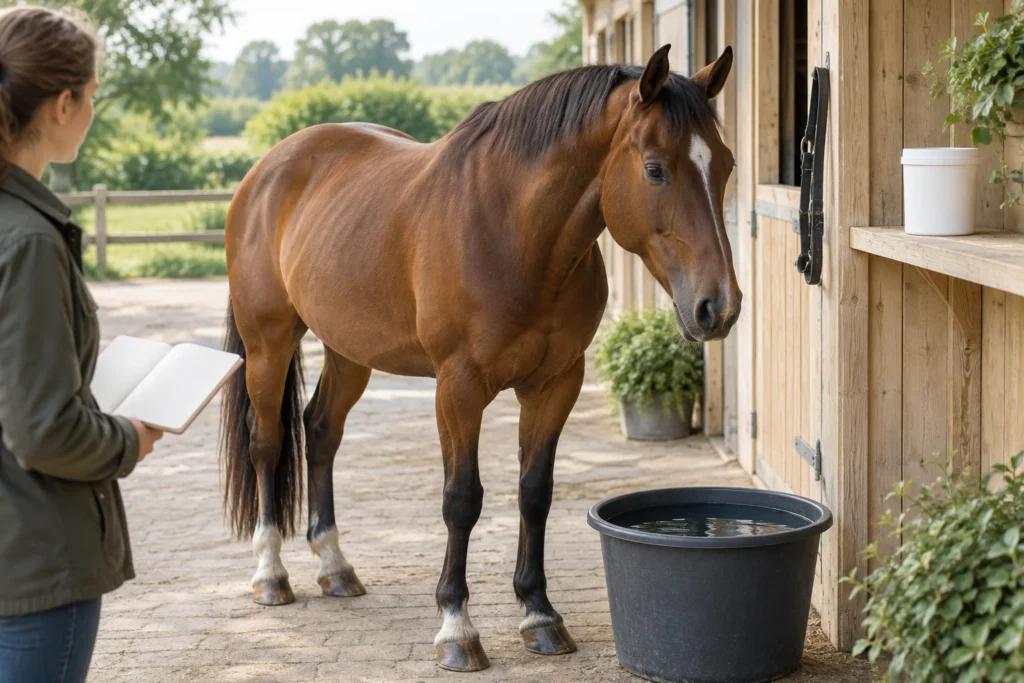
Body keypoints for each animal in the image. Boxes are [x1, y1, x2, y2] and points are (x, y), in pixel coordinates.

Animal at [219, 43, 740, 672]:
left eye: (727, 165)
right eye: (655, 168)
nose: (719, 305)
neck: (514, 230)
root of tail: (266, 170)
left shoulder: (556, 382)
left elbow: (535, 492)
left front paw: (540, 615)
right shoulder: (458, 387)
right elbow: (462, 499)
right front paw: (457, 628)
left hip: (349, 351)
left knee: (319, 431)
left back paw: (335, 566)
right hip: (267, 343)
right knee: (267, 443)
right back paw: (271, 574)